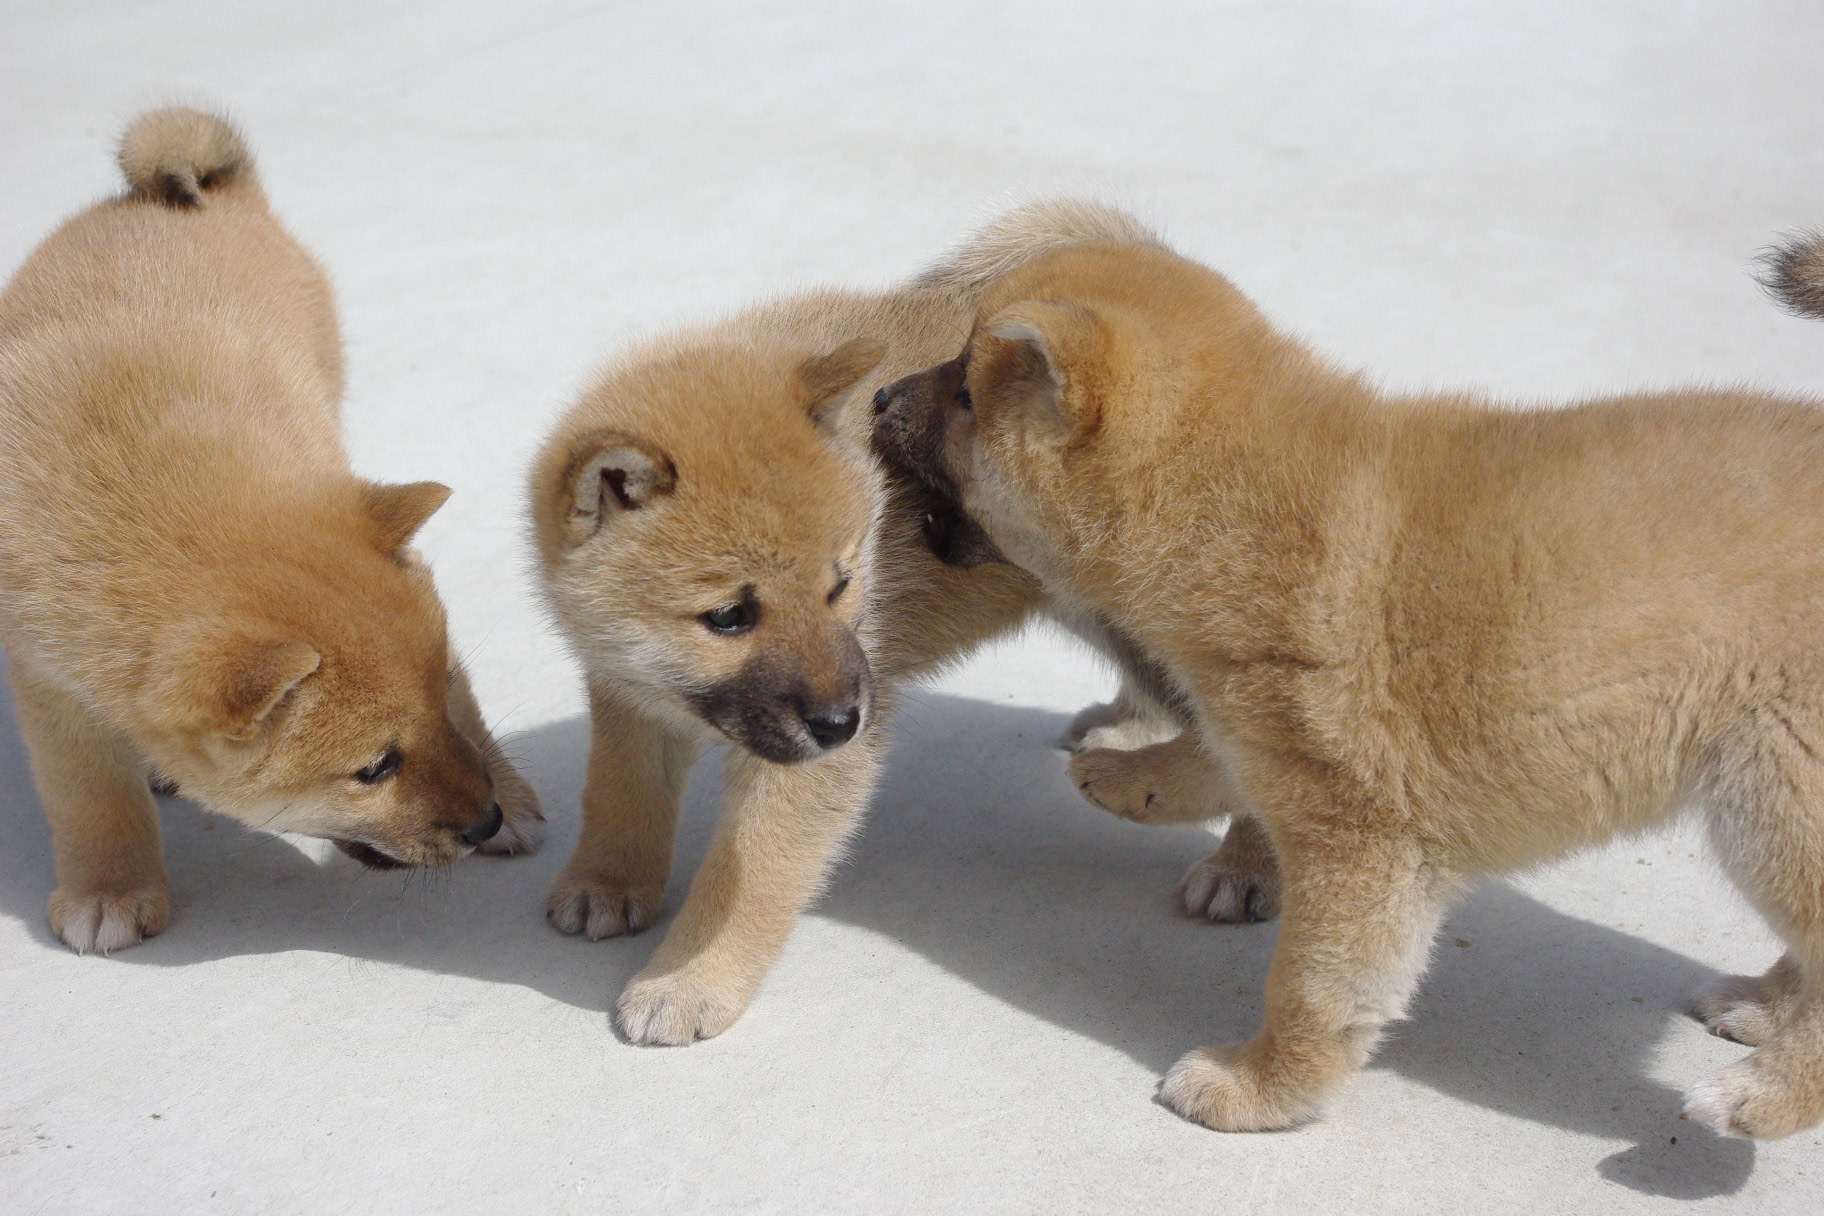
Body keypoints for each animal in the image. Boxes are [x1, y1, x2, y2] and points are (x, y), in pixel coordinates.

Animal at [0, 109, 539, 955]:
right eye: (375, 768)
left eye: (442, 703)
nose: (484, 819)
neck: (166, 503)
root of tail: (200, 199)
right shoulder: (49, 676)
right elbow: (88, 796)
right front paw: (109, 889)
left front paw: (509, 791)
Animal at [528, 202, 1276, 1050]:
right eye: (728, 617)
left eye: (841, 585)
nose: (842, 721)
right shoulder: (628, 691)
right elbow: (620, 791)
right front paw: (606, 880)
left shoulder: (810, 760)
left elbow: (745, 873)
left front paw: (688, 979)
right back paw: (1127, 728)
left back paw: (1246, 866)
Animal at [879, 218, 1824, 1144]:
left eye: (963, 393)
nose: (881, 400)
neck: (1232, 506)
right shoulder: (1262, 734)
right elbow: (1213, 759)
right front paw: (1130, 777)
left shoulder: (1359, 845)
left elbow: (1311, 990)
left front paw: (1260, 1088)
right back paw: (1763, 1009)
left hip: (1773, 798)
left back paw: (1760, 1095)